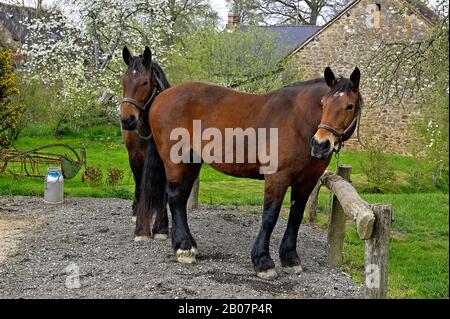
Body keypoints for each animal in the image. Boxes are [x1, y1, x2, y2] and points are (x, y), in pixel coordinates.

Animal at [120, 45, 171, 240]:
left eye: (145, 82)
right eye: (123, 81)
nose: (127, 120)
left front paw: (161, 227)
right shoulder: (135, 157)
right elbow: (141, 187)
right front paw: (142, 229)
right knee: (138, 184)